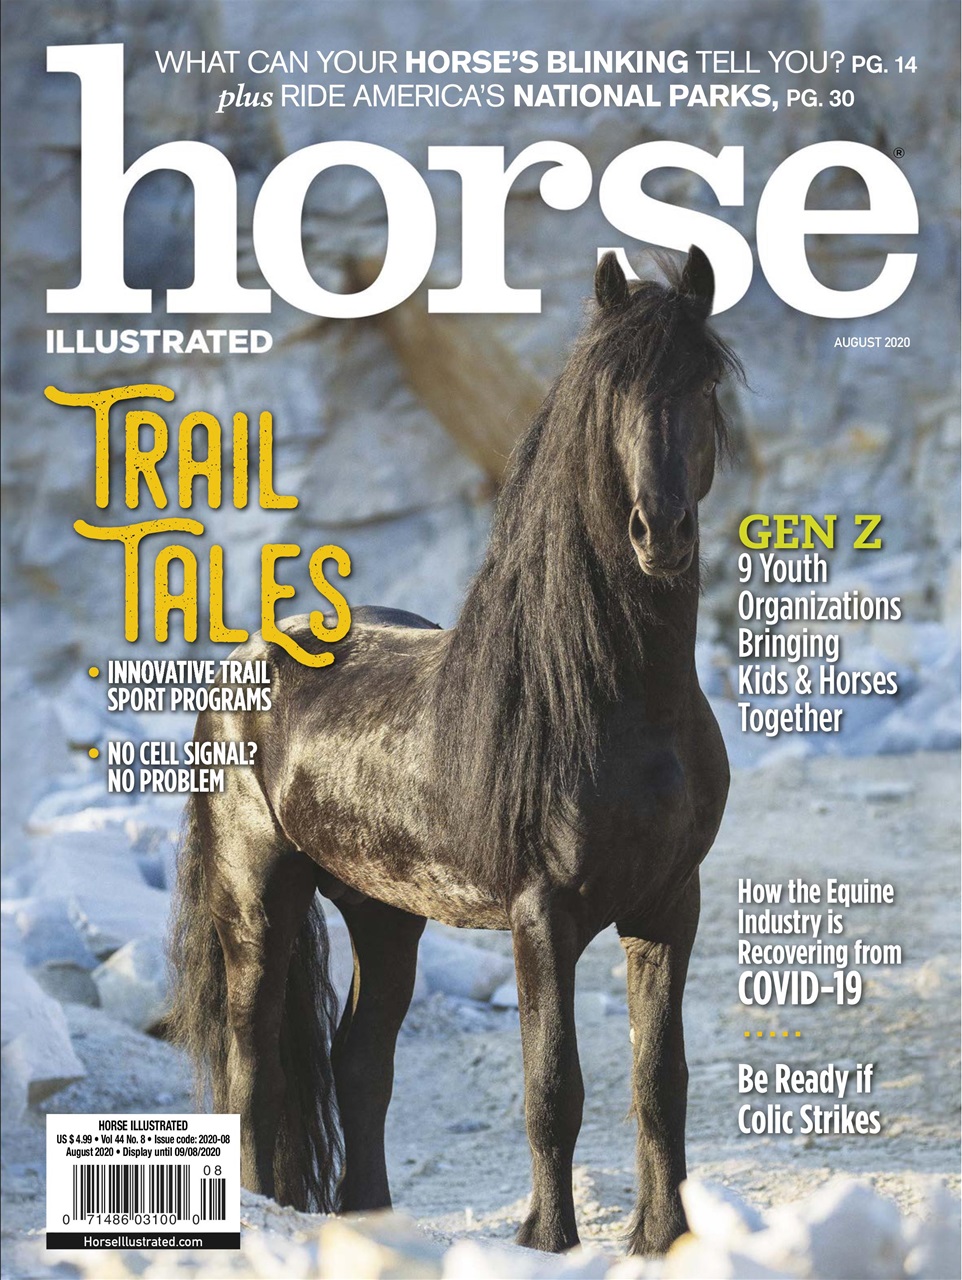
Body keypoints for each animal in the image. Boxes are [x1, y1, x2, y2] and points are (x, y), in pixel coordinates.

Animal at [168, 245, 744, 1256]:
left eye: (704, 380)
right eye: (609, 390)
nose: (661, 532)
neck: (621, 706)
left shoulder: (670, 906)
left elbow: (658, 1084)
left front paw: (662, 1238)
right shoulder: (542, 916)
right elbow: (553, 1087)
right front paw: (547, 1240)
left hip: (384, 914)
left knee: (358, 1062)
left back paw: (365, 1219)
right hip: (258, 900)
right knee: (251, 1069)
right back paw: (270, 1216)